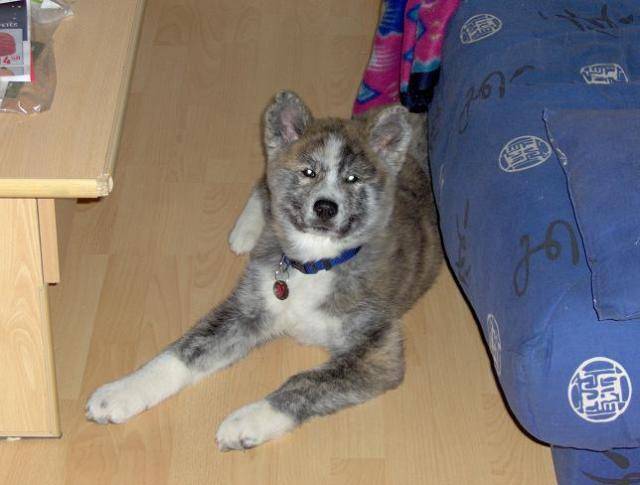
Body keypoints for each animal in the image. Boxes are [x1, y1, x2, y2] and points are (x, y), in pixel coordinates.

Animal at [86, 91, 442, 451]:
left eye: (352, 178)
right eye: (308, 172)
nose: (325, 207)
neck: (314, 265)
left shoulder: (377, 352)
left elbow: (304, 382)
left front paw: (249, 419)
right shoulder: (246, 309)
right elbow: (183, 350)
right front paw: (124, 391)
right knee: (264, 181)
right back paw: (246, 231)